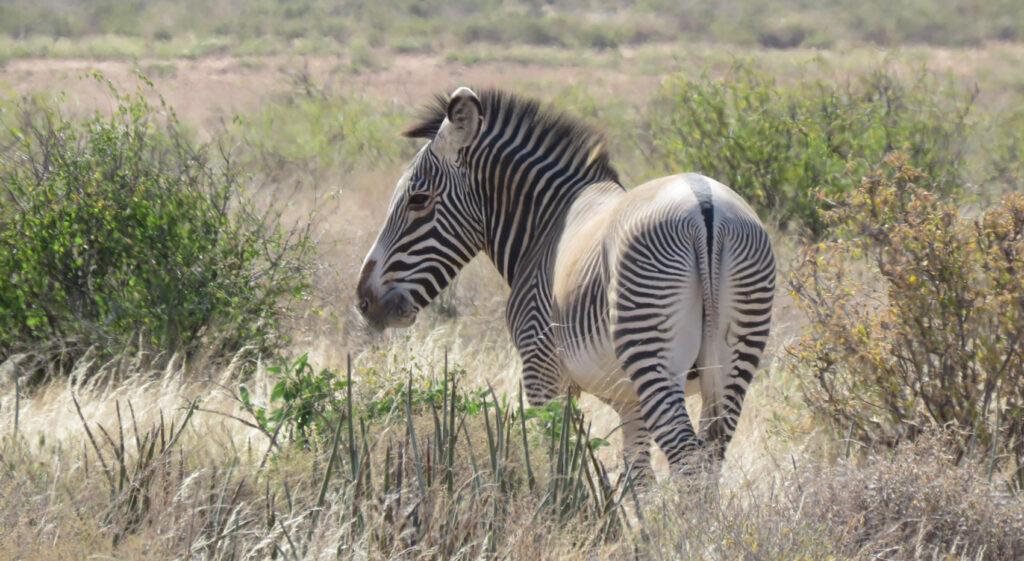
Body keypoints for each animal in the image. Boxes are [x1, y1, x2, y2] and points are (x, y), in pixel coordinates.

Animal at [357, 87, 775, 477]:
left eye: (418, 199)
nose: (364, 300)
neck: (545, 223)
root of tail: (704, 205)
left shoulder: (540, 368)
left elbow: (552, 456)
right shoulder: (630, 400)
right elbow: (636, 476)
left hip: (651, 347)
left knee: (688, 459)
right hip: (735, 356)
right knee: (711, 456)